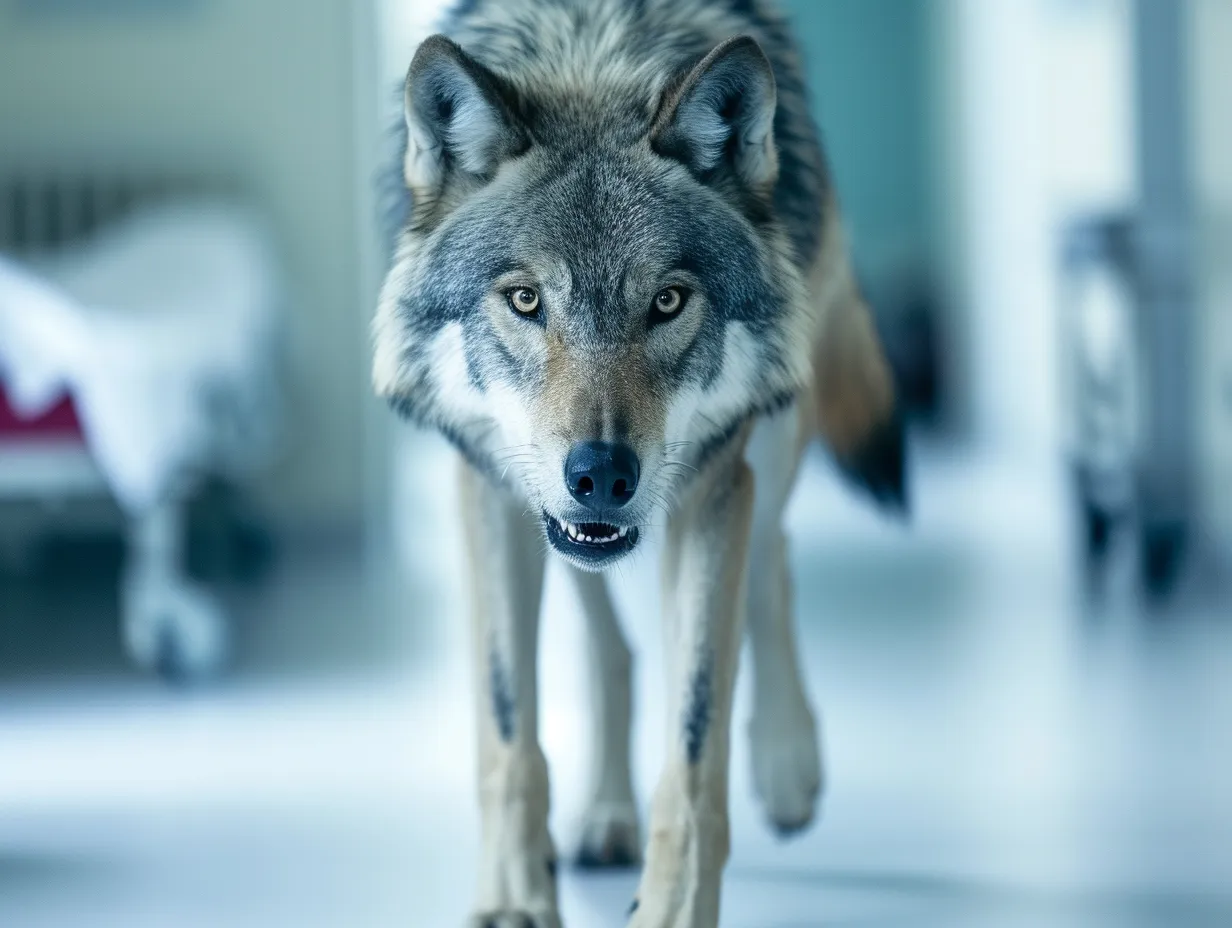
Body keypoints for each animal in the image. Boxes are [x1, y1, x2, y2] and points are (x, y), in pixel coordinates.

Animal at [373, 0, 906, 924]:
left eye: (667, 301)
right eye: (525, 300)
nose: (602, 474)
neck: (589, 52)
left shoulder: (712, 485)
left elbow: (694, 746)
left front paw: (672, 907)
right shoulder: (488, 488)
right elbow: (508, 727)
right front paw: (514, 895)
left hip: (772, 430)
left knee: (771, 557)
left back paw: (787, 764)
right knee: (610, 648)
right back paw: (606, 812)